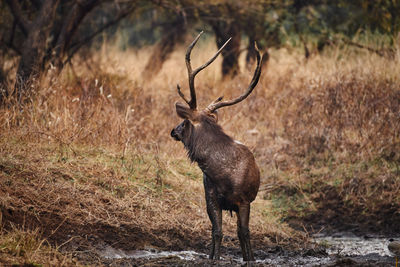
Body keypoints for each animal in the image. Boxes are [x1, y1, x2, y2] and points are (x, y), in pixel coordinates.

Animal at [170, 31, 264, 264]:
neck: (223, 175)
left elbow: (244, 232)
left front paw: (250, 259)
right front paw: (213, 258)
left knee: (241, 232)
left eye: (184, 122)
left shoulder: (244, 200)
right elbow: (217, 232)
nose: (173, 131)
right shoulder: (211, 198)